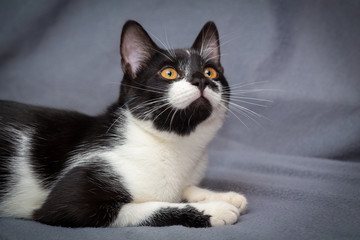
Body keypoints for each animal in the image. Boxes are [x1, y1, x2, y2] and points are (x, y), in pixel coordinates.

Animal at [0, 20, 246, 227]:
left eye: (210, 71)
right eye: (169, 73)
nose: (201, 80)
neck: (175, 145)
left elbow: (183, 188)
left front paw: (222, 196)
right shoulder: (69, 202)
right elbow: (148, 207)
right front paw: (214, 209)